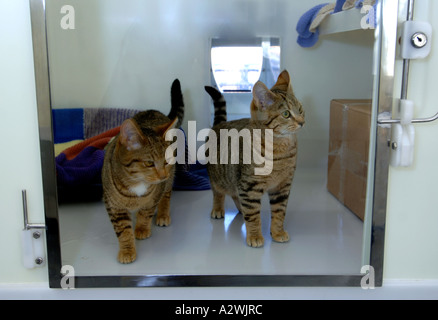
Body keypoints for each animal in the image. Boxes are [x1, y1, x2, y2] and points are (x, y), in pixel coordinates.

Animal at [102, 79, 184, 264]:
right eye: (149, 163)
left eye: (166, 161)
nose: (163, 175)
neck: (136, 183)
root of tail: (155, 111)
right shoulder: (113, 205)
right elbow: (123, 229)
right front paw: (127, 250)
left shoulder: (155, 194)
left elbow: (146, 212)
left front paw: (141, 228)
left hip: (170, 180)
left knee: (166, 194)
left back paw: (162, 214)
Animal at [205, 71, 304, 248]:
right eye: (286, 114)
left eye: (300, 110)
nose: (302, 122)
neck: (280, 150)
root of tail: (219, 125)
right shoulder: (249, 187)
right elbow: (253, 215)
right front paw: (255, 235)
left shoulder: (282, 186)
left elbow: (279, 212)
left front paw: (277, 232)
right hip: (217, 177)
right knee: (218, 193)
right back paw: (217, 208)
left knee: (235, 195)